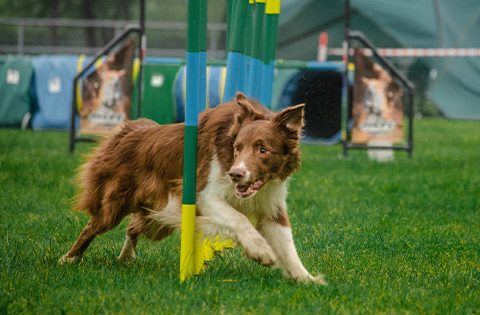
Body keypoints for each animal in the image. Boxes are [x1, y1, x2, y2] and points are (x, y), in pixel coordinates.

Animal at [61, 92, 326, 286]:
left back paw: (126, 257)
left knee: (134, 225)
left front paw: (307, 279)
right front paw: (261, 251)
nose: (235, 174)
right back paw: (68, 259)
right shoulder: (203, 194)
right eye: (237, 147)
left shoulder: (271, 205)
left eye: (263, 150)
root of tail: (129, 131)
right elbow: (239, 219)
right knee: (92, 227)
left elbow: (287, 243)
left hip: (156, 213)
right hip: (117, 204)